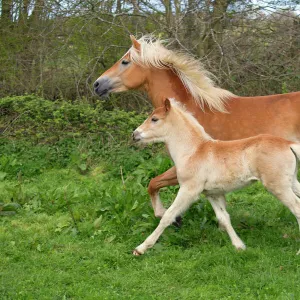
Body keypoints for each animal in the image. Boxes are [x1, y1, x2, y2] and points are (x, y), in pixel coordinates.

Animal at [132, 98, 300, 255]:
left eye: (154, 119)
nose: (134, 134)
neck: (193, 151)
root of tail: (288, 144)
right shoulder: (212, 193)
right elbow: (223, 217)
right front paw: (239, 246)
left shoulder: (189, 190)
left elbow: (168, 215)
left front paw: (141, 248)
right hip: (291, 182)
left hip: (278, 186)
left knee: (297, 208)